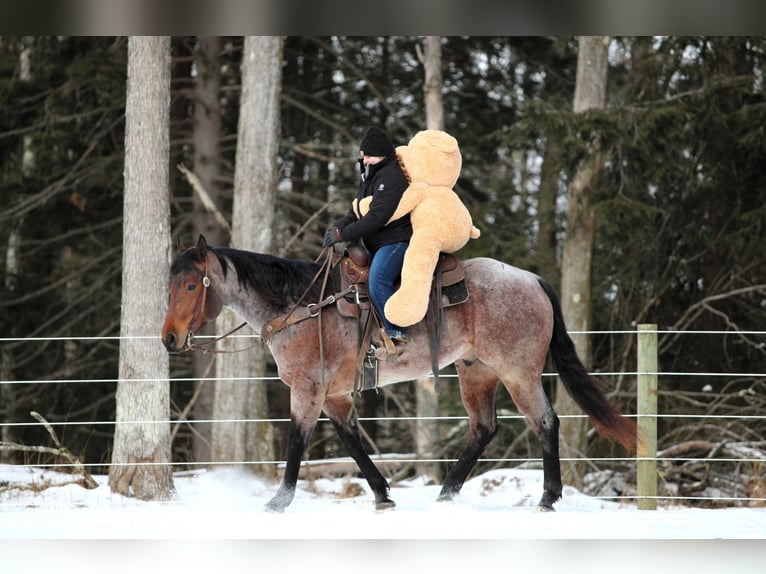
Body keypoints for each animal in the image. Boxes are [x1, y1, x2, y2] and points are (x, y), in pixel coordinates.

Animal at [160, 236, 636, 516]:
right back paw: (447, 493)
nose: (169, 338)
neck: (303, 307)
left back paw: (547, 498)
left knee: (545, 421)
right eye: (170, 286)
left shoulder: (309, 389)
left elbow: (296, 441)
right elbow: (352, 441)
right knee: (484, 428)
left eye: (191, 286)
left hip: (518, 371)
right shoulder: (335, 396)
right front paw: (382, 494)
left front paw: (278, 501)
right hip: (476, 372)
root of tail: (533, 280)